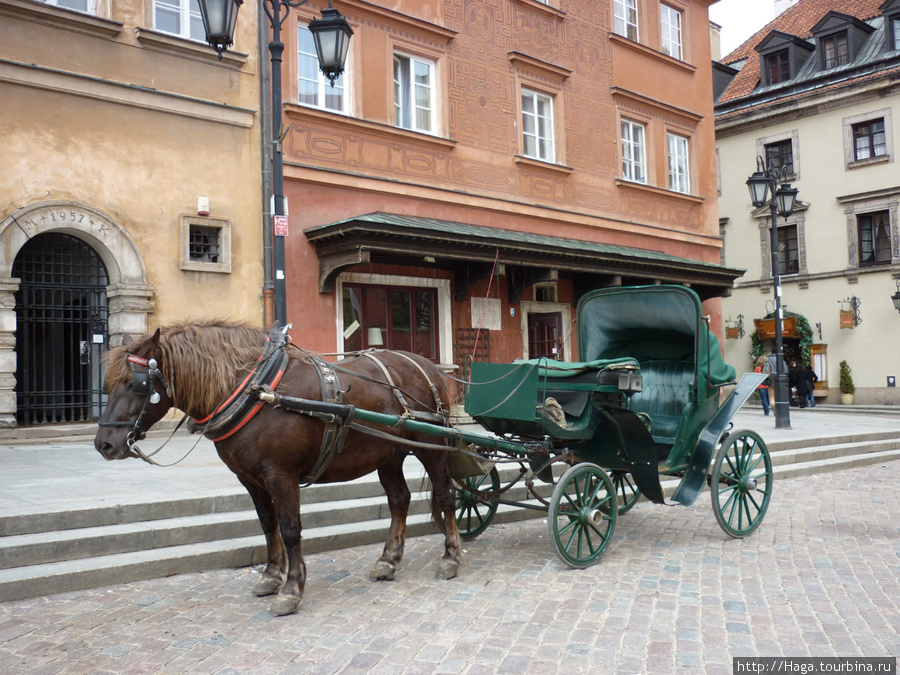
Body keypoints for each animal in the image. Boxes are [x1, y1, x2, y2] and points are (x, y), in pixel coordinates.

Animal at [94, 322, 460, 616]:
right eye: (107, 384)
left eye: (135, 385)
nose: (104, 444)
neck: (256, 390)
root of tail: (426, 365)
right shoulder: (250, 478)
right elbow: (268, 525)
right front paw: (271, 576)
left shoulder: (281, 476)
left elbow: (290, 529)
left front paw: (292, 589)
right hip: (389, 454)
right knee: (399, 499)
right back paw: (388, 559)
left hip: (433, 447)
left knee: (445, 495)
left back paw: (451, 557)